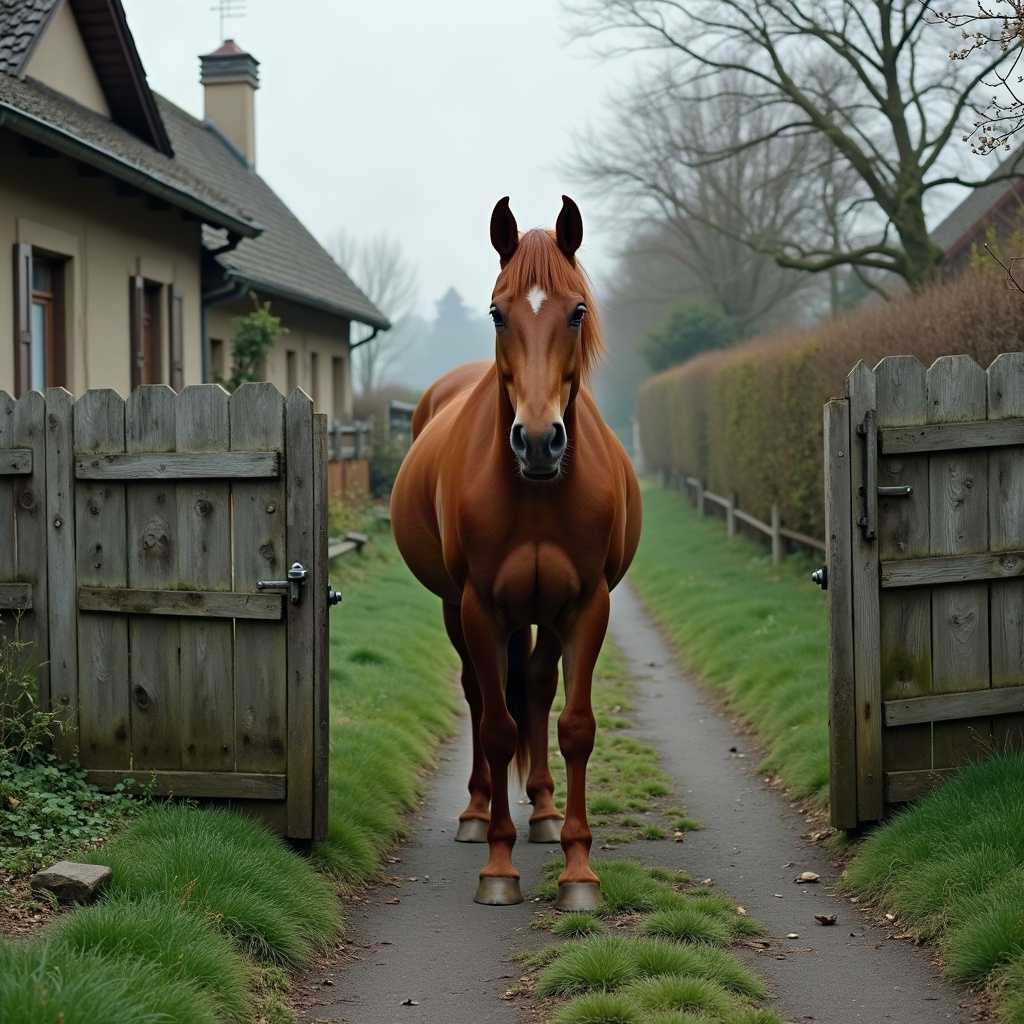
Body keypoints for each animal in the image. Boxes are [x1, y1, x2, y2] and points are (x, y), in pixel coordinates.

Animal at [390, 196, 642, 911]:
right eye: (497, 312)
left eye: (577, 311)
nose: (536, 441)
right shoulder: (481, 606)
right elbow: (499, 727)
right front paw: (498, 867)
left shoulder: (586, 607)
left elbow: (574, 725)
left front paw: (578, 870)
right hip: (459, 609)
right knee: (482, 696)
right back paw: (479, 814)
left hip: (544, 615)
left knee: (532, 685)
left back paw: (545, 811)